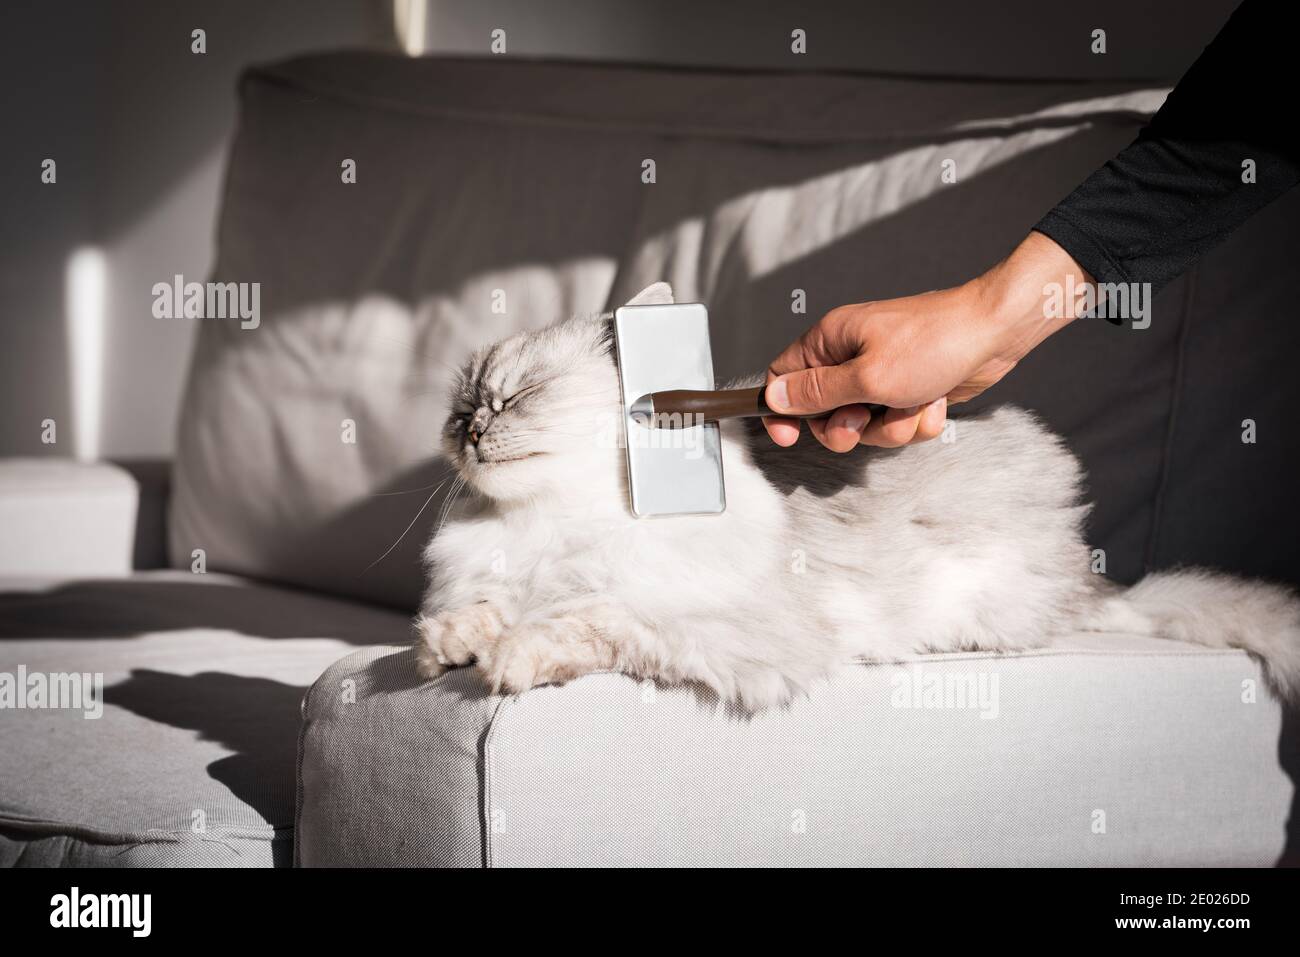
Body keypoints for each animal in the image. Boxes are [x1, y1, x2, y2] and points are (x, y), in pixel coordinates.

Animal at [413, 280, 1300, 707]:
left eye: (519, 396)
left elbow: (577, 621)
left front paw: (504, 661)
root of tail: (1091, 587)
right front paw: (445, 645)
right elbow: (479, 611)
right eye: (461, 408)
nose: (470, 430)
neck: (545, 524)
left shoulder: (690, 624)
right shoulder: (502, 575)